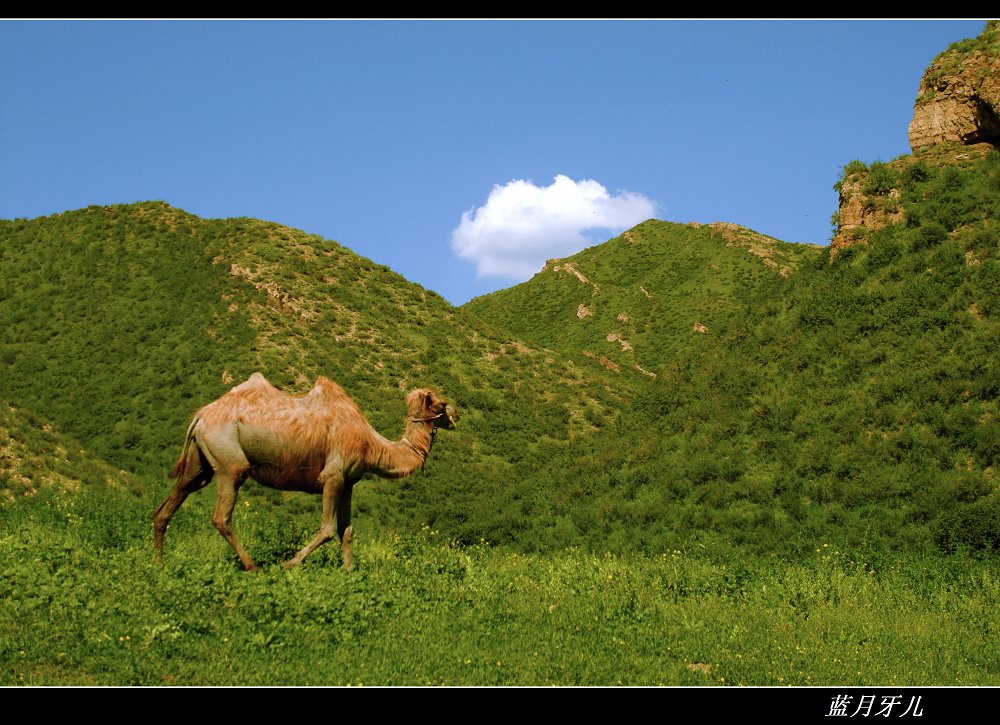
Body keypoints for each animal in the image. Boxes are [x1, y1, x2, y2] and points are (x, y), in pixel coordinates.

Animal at [151, 374, 458, 572]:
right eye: (441, 405)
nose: (456, 415)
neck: (372, 445)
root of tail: (200, 417)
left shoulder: (349, 482)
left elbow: (347, 530)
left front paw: (349, 572)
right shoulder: (333, 476)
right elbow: (327, 529)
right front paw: (288, 564)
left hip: (199, 463)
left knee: (170, 503)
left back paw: (159, 562)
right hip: (229, 463)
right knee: (220, 516)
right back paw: (252, 566)